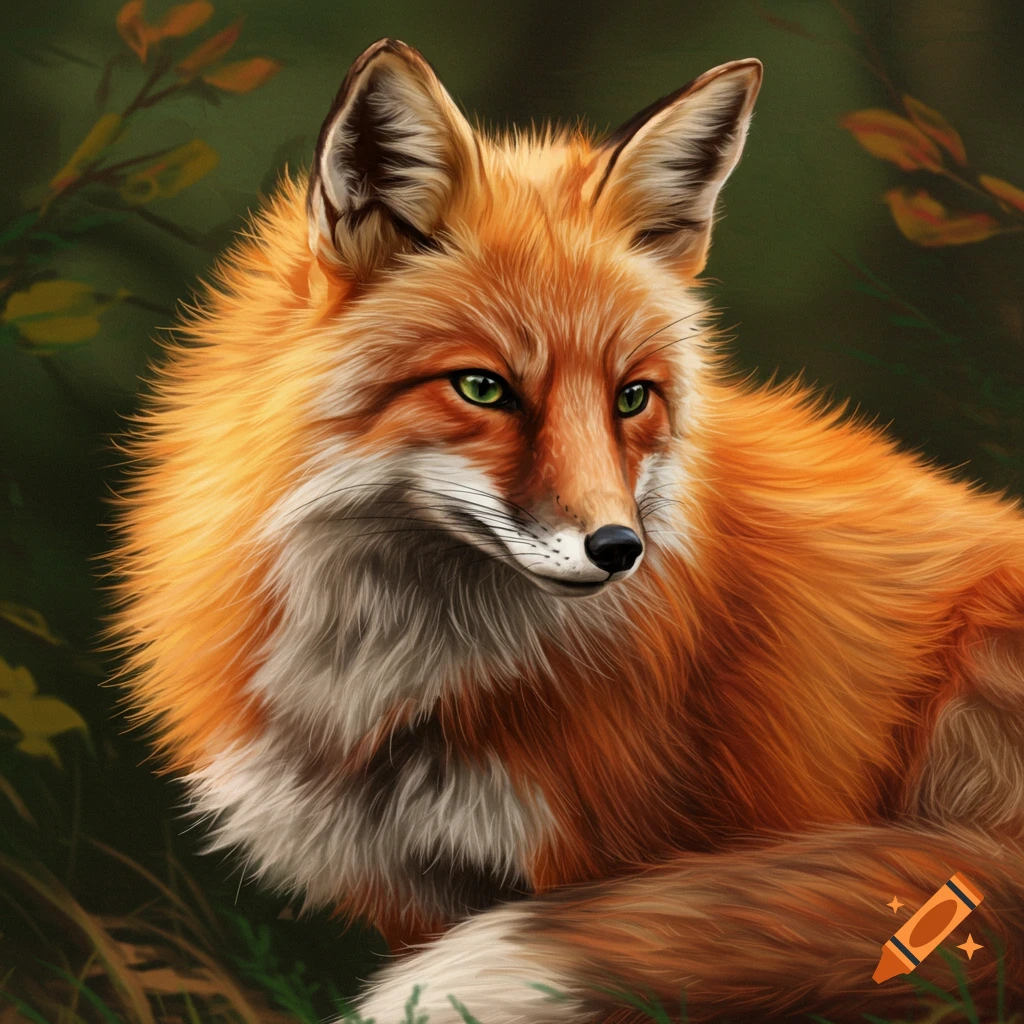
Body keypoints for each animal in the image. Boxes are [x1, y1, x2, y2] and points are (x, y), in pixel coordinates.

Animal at [109, 37, 1024, 1024]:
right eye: (483, 388)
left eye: (633, 397)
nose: (620, 551)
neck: (408, 686)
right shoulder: (412, 892)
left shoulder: (608, 852)